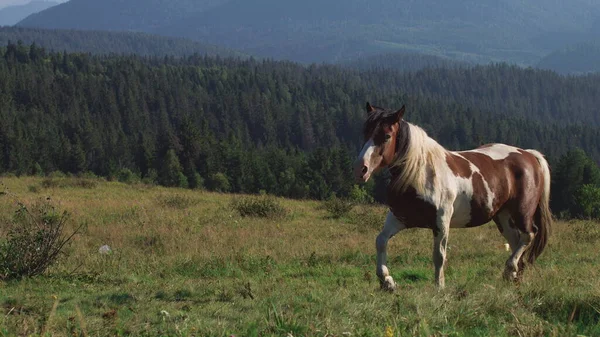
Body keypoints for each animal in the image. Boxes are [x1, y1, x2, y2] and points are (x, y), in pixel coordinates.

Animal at [352, 102, 552, 292]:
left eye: (386, 136)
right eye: (365, 132)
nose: (361, 169)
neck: (420, 173)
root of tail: (529, 155)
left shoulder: (441, 221)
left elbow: (439, 255)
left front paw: (439, 286)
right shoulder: (399, 217)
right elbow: (381, 241)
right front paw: (387, 281)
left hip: (521, 212)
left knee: (528, 235)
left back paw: (510, 270)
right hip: (503, 217)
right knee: (516, 241)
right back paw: (514, 278)